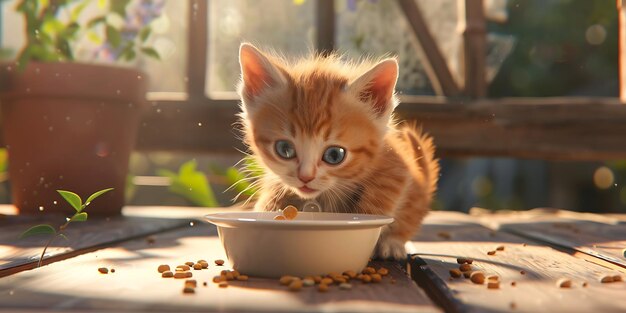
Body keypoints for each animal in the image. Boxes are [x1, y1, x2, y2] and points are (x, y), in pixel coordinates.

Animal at [235, 43, 438, 258]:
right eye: (285, 149)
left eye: (335, 155)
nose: (305, 177)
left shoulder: (395, 168)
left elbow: (377, 205)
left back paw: (393, 243)